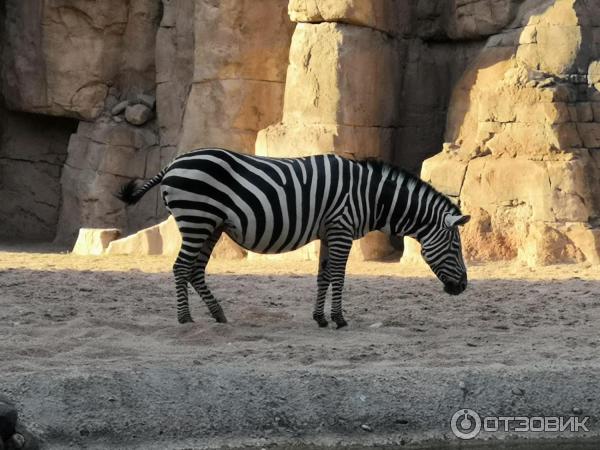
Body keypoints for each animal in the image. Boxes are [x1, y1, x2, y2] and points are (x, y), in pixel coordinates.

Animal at [117, 148, 472, 326]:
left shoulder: (330, 231)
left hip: (210, 225)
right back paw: (185, 318)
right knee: (180, 268)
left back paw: (218, 314)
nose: (463, 287)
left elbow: (323, 276)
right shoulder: (342, 228)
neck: (370, 197)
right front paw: (339, 319)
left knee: (194, 270)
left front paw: (320, 318)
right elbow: (338, 276)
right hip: (196, 218)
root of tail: (173, 163)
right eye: (456, 245)